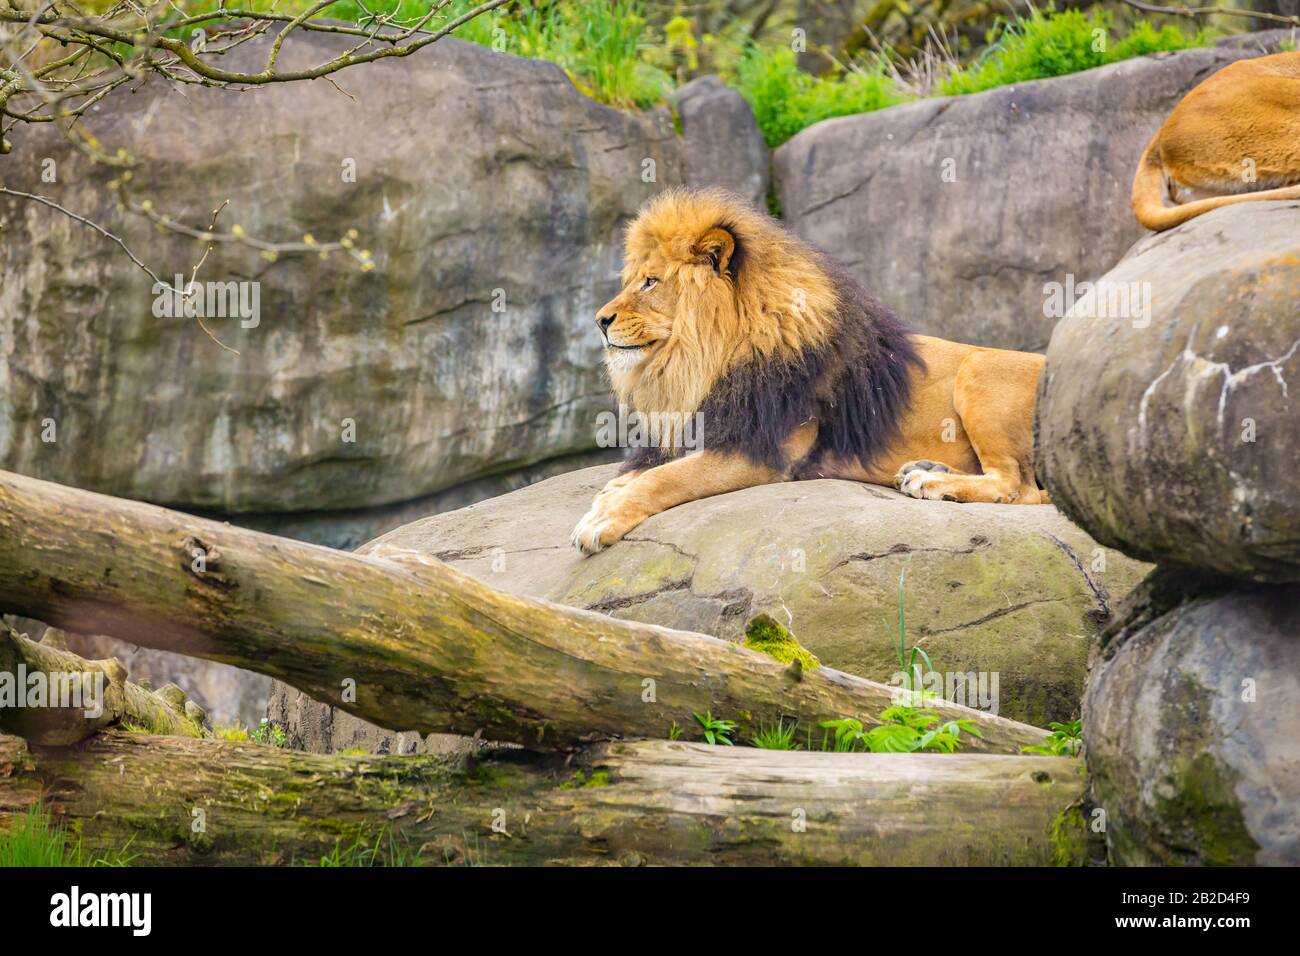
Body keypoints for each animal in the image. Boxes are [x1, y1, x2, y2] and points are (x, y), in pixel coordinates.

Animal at [571, 188, 1049, 555]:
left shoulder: (762, 451)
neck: (710, 359)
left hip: (979, 372)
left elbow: (665, 478)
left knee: (1016, 486)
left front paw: (603, 518)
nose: (599, 320)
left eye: (650, 281)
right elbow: (648, 469)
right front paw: (610, 494)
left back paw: (931, 483)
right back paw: (928, 470)